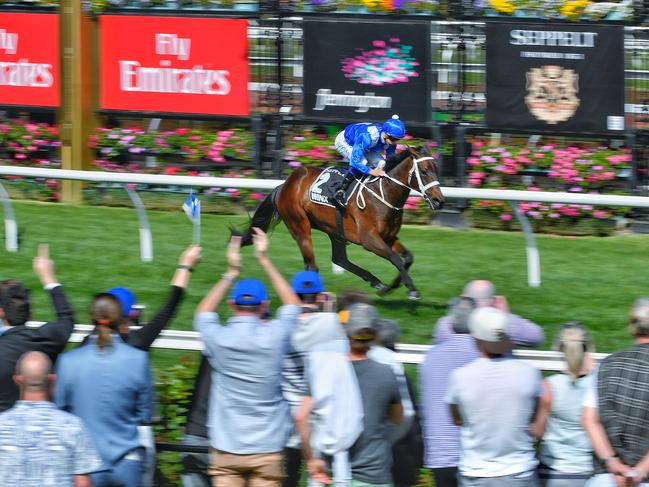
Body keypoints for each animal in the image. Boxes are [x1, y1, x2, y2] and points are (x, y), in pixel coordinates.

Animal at [240, 147, 442, 300]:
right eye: (424, 171)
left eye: (436, 169)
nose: (439, 201)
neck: (383, 193)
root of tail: (285, 184)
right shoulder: (369, 239)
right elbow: (395, 258)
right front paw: (412, 290)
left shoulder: (389, 237)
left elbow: (408, 257)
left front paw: (392, 286)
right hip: (299, 225)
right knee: (312, 265)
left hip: (335, 230)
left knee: (339, 259)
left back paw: (376, 283)